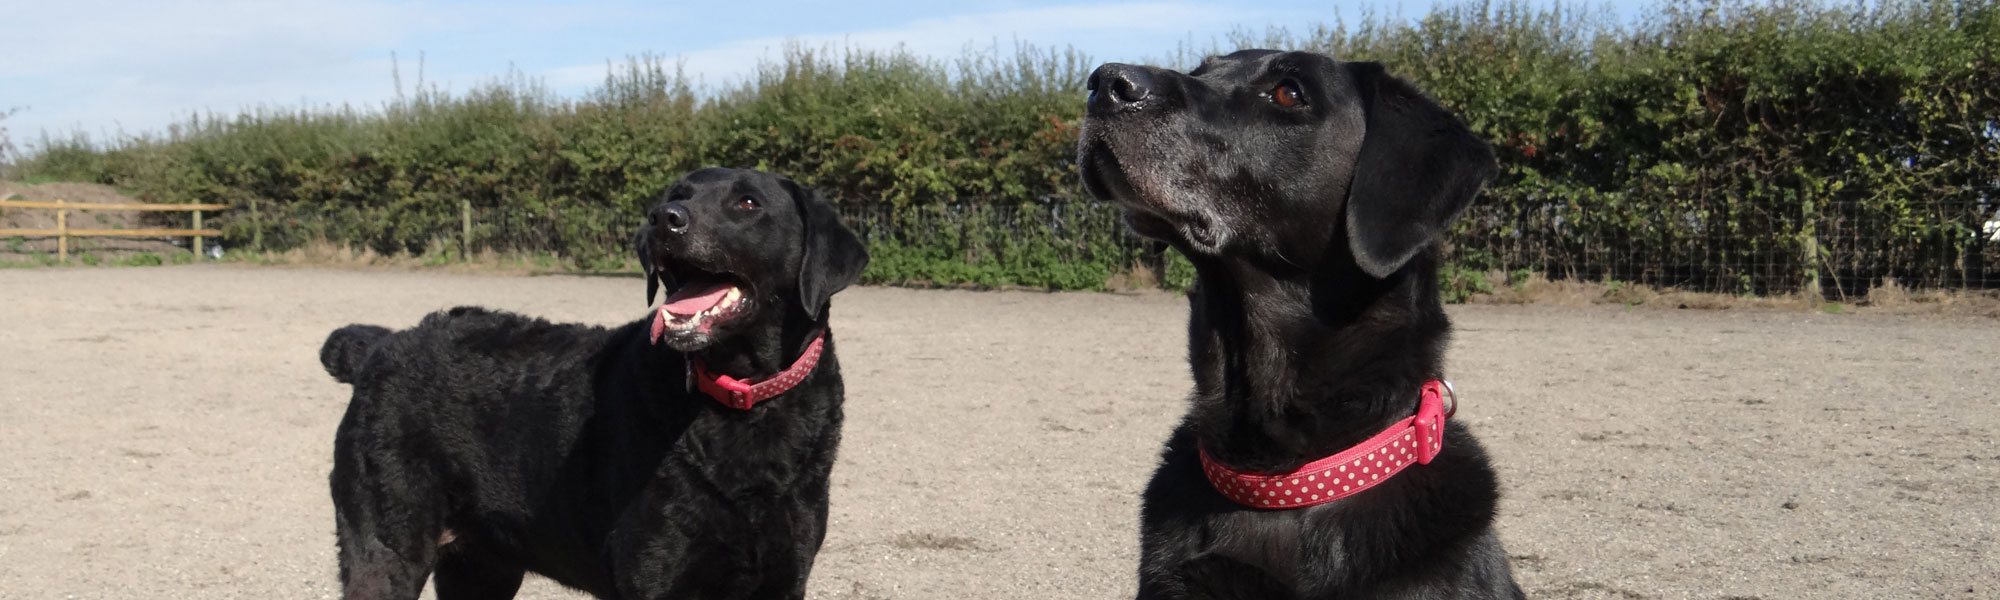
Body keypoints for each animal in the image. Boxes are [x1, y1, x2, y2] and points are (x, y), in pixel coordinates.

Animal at [320, 168, 868, 600]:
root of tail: (381, 347)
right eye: (679, 193)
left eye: (748, 203)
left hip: (483, 566)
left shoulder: (784, 577)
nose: (664, 218)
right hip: (386, 550)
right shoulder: (653, 576)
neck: (744, 401)